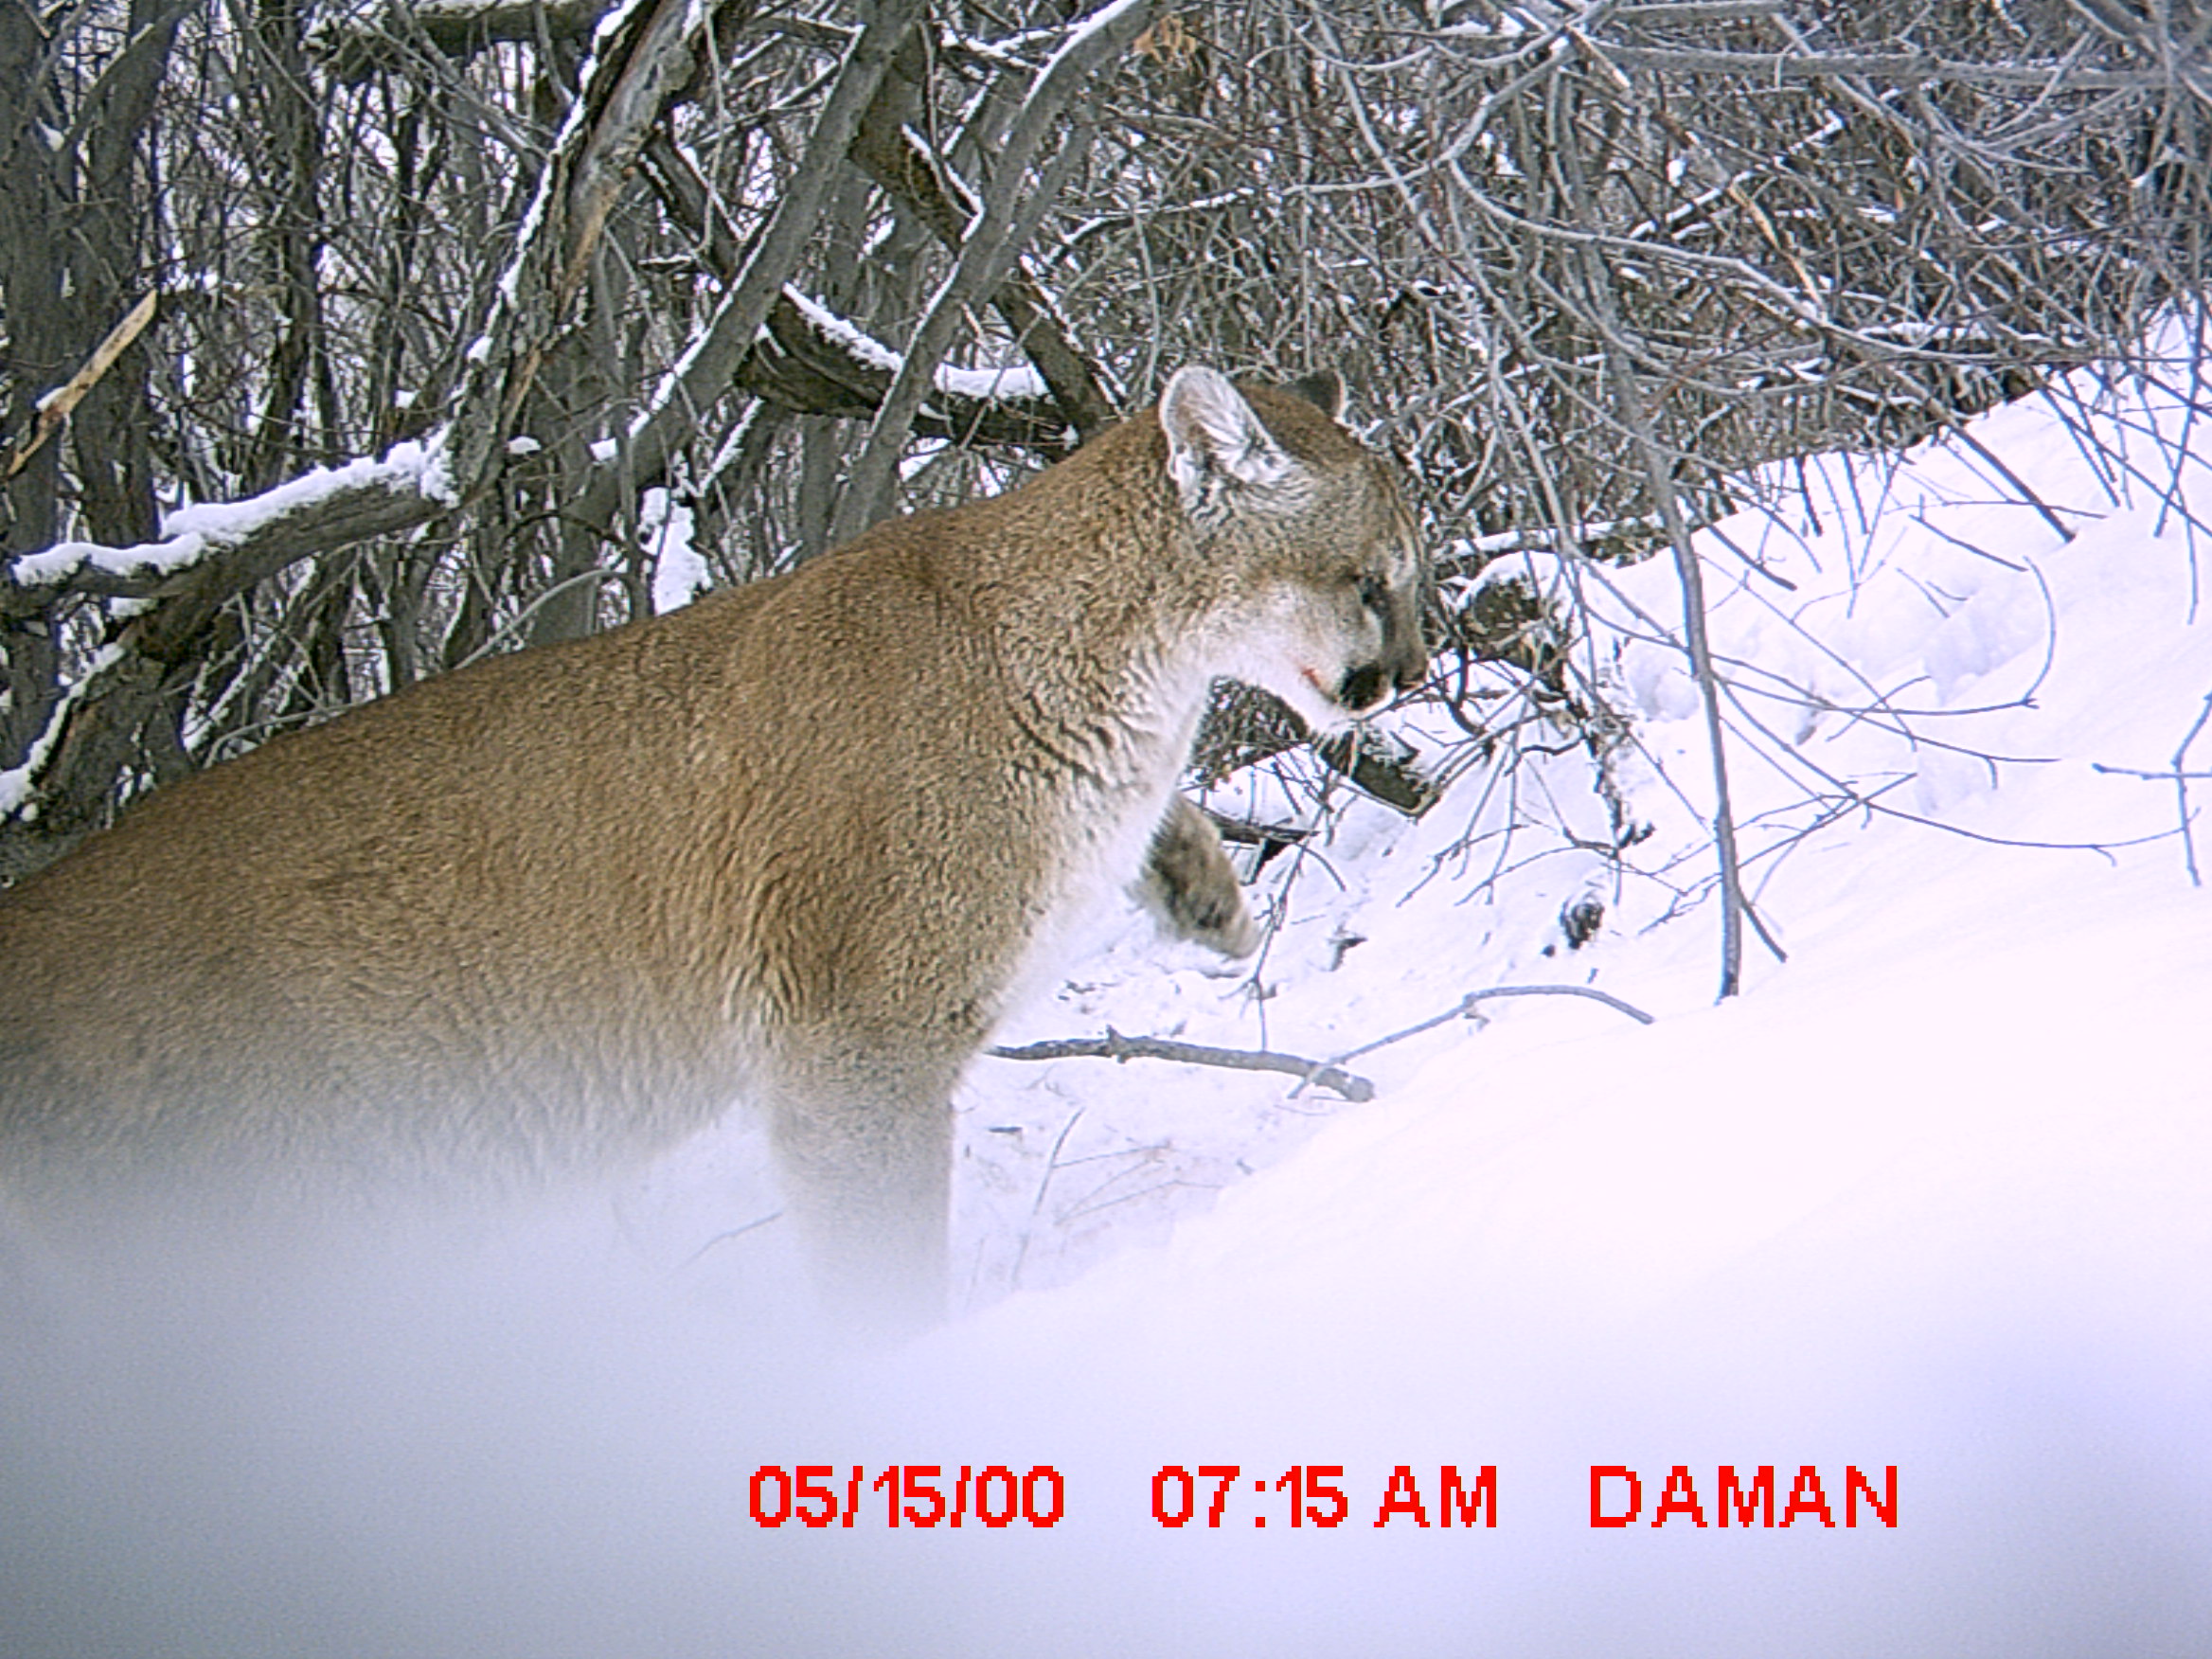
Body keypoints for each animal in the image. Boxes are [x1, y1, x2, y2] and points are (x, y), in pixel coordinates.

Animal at [0, 366, 1425, 1327]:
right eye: (1372, 579)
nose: (1413, 672)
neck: (1118, 665)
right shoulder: (855, 1041)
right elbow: (877, 1259)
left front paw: (1204, 891)